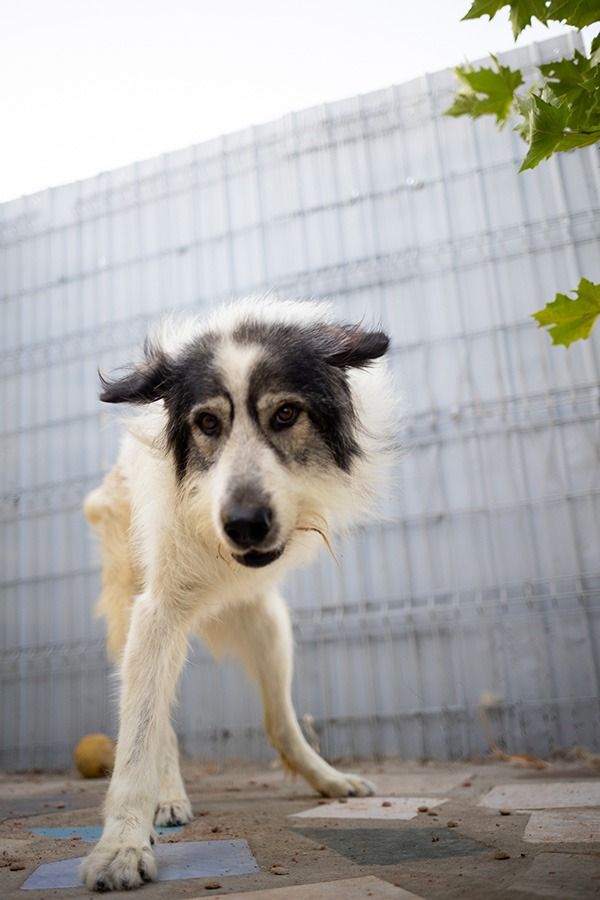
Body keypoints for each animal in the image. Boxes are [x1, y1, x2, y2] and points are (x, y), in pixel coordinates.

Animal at [81, 298, 398, 888]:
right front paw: (121, 846)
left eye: (286, 415)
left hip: (269, 626)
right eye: (208, 423)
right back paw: (168, 797)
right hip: (129, 612)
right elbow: (139, 738)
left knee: (279, 721)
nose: (245, 525)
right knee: (158, 723)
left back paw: (327, 779)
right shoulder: (157, 612)